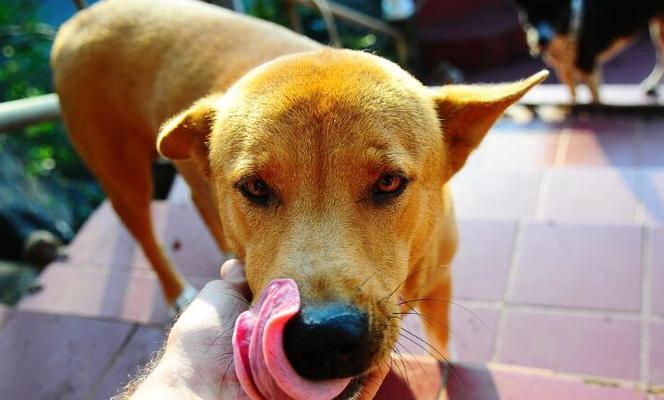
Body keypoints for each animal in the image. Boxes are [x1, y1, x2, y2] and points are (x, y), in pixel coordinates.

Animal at [52, 0, 548, 394]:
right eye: (256, 187)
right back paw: (175, 291)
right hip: (122, 176)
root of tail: (84, 16)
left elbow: (442, 338)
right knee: (141, 229)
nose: (322, 337)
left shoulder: (440, 278)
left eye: (390, 182)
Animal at [512, 0, 664, 103]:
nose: (541, 41)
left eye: (556, 15)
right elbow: (573, 97)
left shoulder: (590, 69)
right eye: (532, 16)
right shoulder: (564, 71)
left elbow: (595, 99)